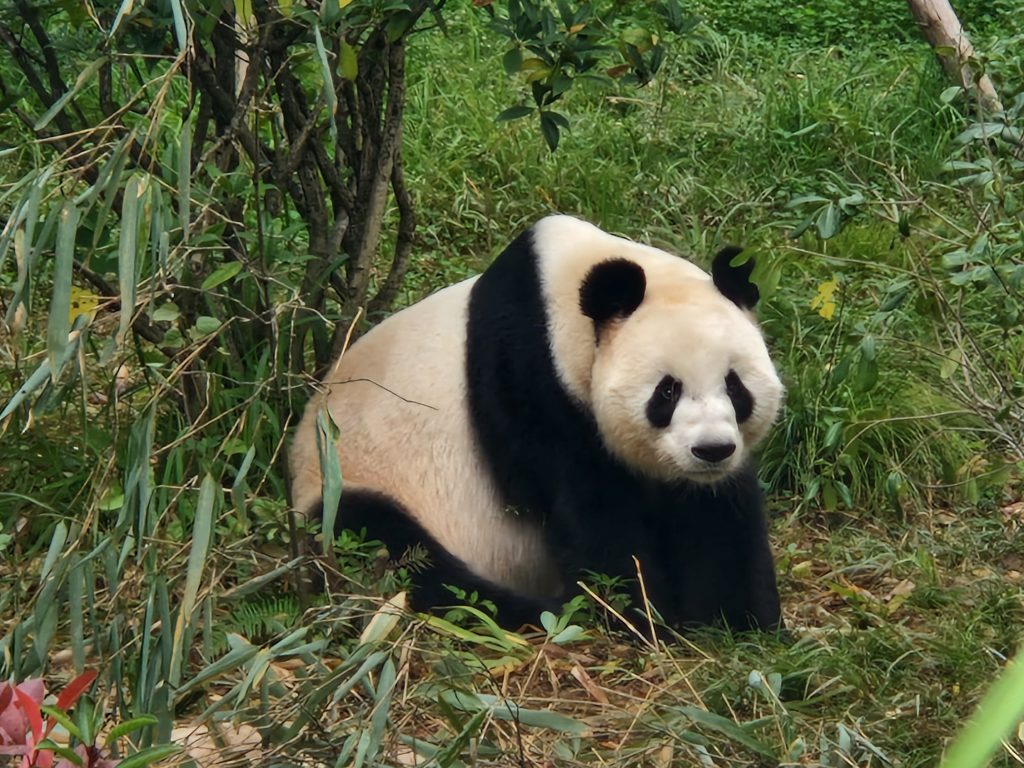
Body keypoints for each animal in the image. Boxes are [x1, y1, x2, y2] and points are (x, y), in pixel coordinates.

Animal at [289, 215, 785, 633]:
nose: (712, 449)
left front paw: (734, 623)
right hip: (348, 484)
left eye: (735, 386)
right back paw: (534, 611)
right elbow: (591, 510)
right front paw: (641, 616)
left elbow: (716, 516)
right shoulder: (527, 381)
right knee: (403, 553)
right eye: (667, 392)